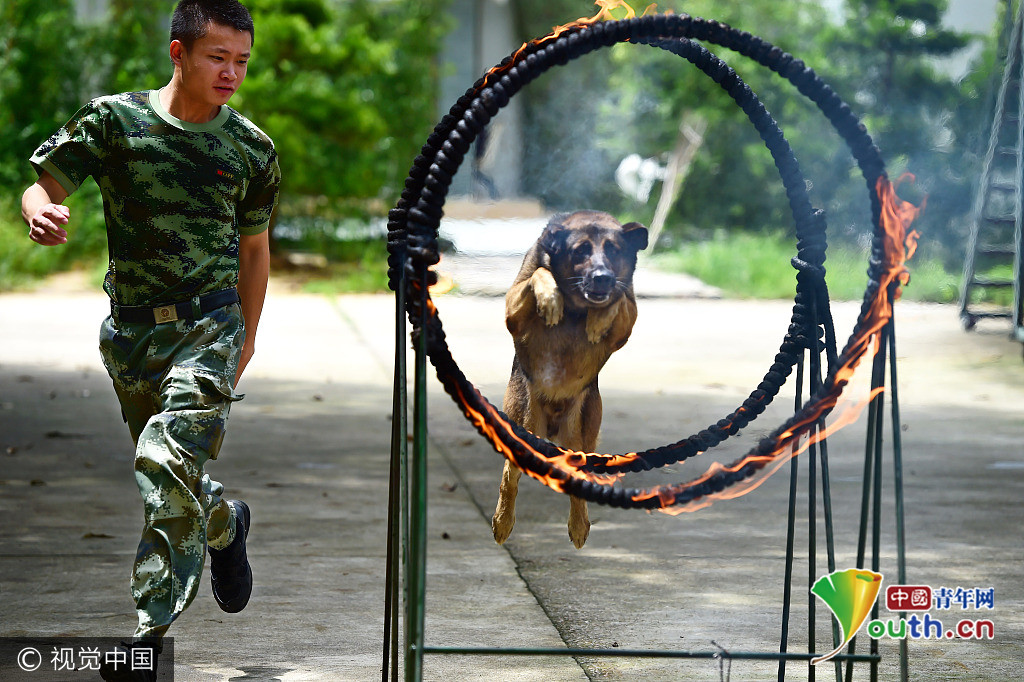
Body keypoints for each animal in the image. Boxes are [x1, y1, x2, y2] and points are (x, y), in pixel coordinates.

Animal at [489, 208, 647, 548]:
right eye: (580, 251)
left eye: (614, 250)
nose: (602, 277)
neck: (577, 306)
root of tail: (550, 426)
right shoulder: (514, 314)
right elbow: (540, 273)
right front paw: (551, 298)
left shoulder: (625, 323)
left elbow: (618, 300)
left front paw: (597, 319)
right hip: (522, 426)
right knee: (509, 479)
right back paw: (502, 522)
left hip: (583, 438)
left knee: (579, 486)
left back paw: (579, 526)